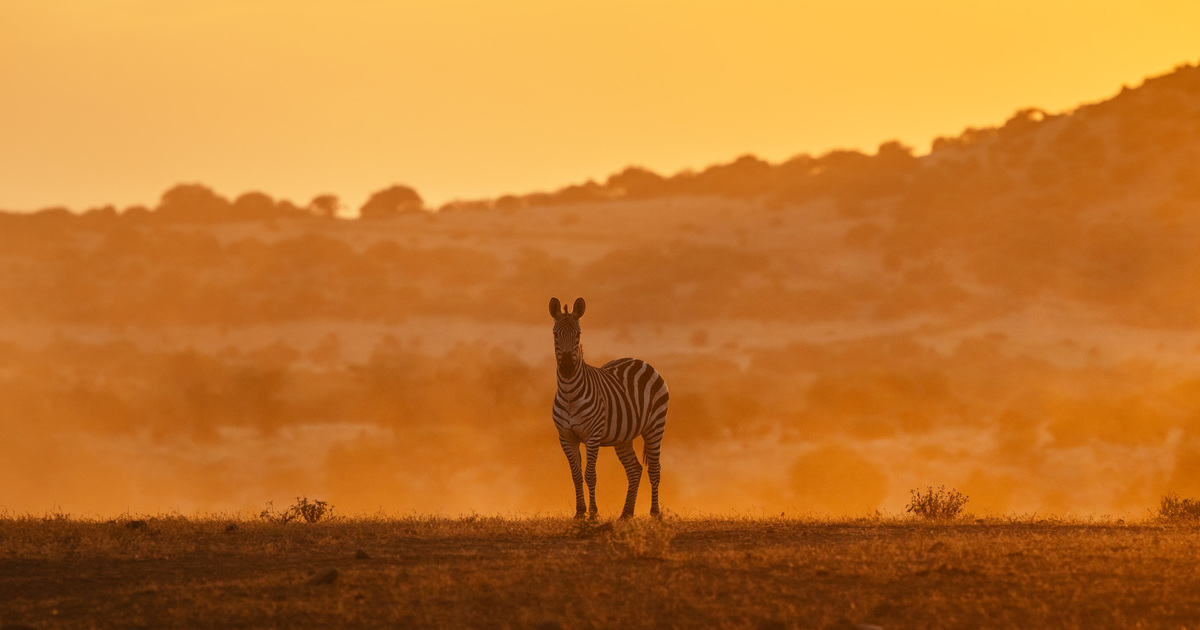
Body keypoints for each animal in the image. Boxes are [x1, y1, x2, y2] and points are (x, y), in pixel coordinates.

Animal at [549, 297, 672, 518]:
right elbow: (575, 475)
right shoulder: (566, 437)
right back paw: (626, 513)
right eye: (555, 334)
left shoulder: (593, 435)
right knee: (635, 470)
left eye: (578, 334)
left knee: (654, 468)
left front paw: (593, 513)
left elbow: (590, 475)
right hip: (623, 437)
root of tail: (639, 360)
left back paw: (655, 512)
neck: (570, 393)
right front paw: (580, 513)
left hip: (655, 426)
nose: (567, 369)